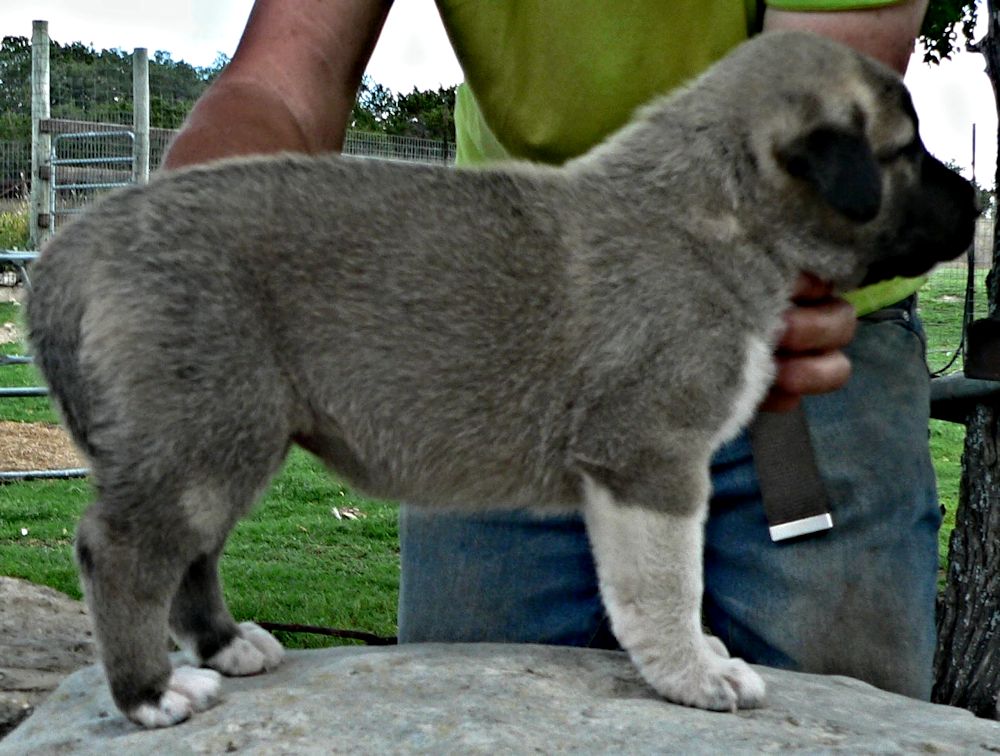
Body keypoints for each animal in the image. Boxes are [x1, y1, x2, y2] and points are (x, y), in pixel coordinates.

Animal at [25, 32, 976, 728]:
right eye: (905, 151)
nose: (979, 202)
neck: (717, 207)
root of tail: (77, 242)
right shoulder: (650, 459)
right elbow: (666, 585)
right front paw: (694, 674)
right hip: (209, 427)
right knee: (123, 550)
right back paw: (151, 694)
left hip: (218, 436)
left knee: (192, 548)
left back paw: (225, 646)